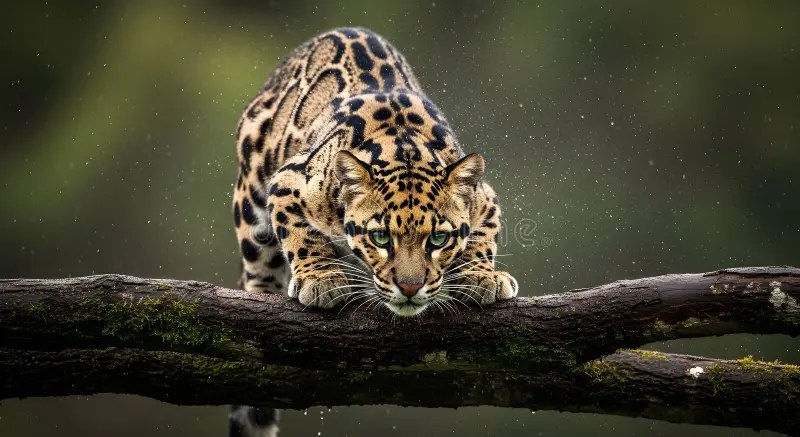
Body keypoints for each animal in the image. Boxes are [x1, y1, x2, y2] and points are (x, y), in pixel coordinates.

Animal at [233, 27, 517, 317]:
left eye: (439, 239)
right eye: (380, 238)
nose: (410, 288)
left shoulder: (485, 198)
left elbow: (483, 238)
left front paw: (482, 275)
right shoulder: (289, 179)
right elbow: (302, 235)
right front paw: (322, 277)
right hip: (251, 207)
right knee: (258, 269)